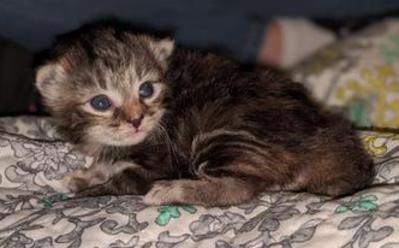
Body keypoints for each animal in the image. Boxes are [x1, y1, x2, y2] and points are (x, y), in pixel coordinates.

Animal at [35, 25, 376, 207]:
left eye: (146, 89)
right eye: (100, 102)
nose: (136, 120)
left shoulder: (162, 159)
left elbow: (125, 180)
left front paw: (87, 192)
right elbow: (112, 162)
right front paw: (84, 175)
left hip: (219, 133)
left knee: (242, 188)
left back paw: (173, 190)